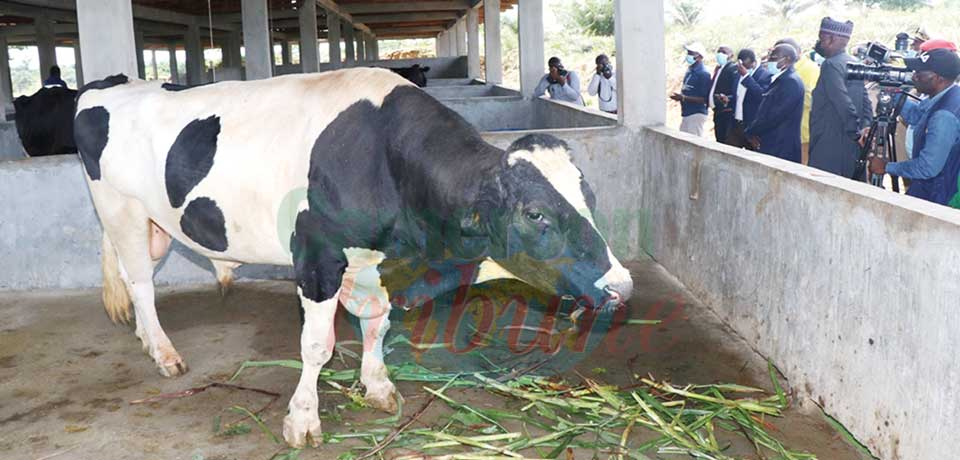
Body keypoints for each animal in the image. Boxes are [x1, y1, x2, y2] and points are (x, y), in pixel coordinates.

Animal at [75, 69, 632, 450]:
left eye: (591, 197)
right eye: (536, 213)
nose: (621, 286)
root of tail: (108, 85)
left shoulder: (374, 257)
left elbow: (377, 324)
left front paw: (378, 386)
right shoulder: (317, 258)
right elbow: (316, 346)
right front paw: (302, 419)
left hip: (150, 224)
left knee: (131, 275)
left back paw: (147, 339)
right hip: (121, 209)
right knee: (142, 284)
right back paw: (165, 353)